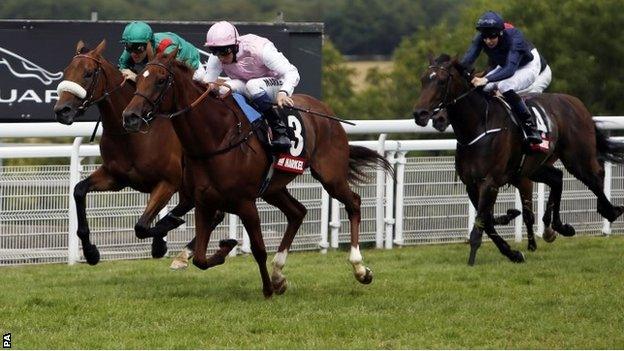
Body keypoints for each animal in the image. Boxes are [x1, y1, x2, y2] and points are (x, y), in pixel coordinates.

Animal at [53, 40, 214, 266]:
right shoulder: (116, 177)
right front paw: (91, 252)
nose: (62, 111)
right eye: (67, 71)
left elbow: (141, 226)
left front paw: (161, 240)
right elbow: (79, 190)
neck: (132, 134)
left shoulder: (167, 183)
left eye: (88, 73)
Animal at [121, 48, 390, 296]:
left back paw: (360, 268)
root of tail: (326, 111)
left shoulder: (245, 202)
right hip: (273, 188)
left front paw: (267, 289)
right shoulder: (204, 201)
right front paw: (226, 248)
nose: (130, 117)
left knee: (353, 202)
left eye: (160, 80)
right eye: (139, 78)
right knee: (297, 212)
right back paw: (279, 274)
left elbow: (259, 249)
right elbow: (199, 258)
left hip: (330, 175)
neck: (216, 138)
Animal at [414, 55, 624, 266]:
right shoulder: (472, 184)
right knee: (557, 177)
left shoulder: (490, 182)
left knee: (595, 177)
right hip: (535, 167)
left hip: (577, 157)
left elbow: (484, 220)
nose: (420, 114)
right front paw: (512, 252)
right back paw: (557, 227)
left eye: (442, 81)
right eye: (423, 80)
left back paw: (610, 211)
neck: (478, 126)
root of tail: (576, 103)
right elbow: (487, 221)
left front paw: (473, 258)